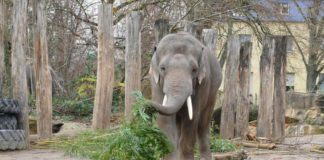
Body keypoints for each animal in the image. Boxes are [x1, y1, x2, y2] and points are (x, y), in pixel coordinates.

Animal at [149, 31, 223, 159]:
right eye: (162, 68)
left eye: (194, 69)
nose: (146, 106)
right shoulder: (156, 83)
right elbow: (165, 120)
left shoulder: (202, 83)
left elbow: (191, 119)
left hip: (213, 92)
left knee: (203, 125)